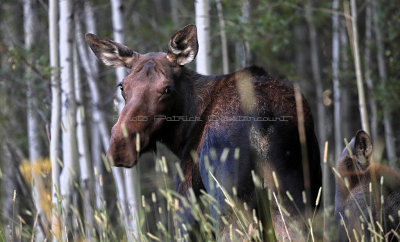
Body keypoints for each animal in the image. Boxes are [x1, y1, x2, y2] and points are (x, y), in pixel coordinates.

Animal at [86, 23, 324, 239]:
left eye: (167, 89)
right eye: (122, 86)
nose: (120, 145)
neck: (181, 135)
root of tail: (262, 117)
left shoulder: (187, 204)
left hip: (230, 206)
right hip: (296, 200)